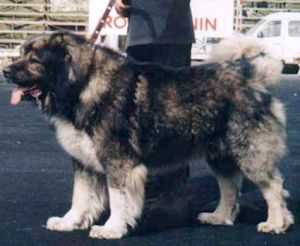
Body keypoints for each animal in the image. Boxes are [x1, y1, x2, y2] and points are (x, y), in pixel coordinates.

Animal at [2, 32, 292, 238]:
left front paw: (111, 229)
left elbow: (118, 199)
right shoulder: (85, 162)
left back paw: (275, 223)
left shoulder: (119, 162)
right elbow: (81, 197)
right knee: (230, 186)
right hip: (220, 154)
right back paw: (219, 217)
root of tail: (252, 77)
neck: (81, 86)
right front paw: (69, 222)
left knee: (273, 187)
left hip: (250, 153)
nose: (5, 71)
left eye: (35, 60)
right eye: (21, 53)